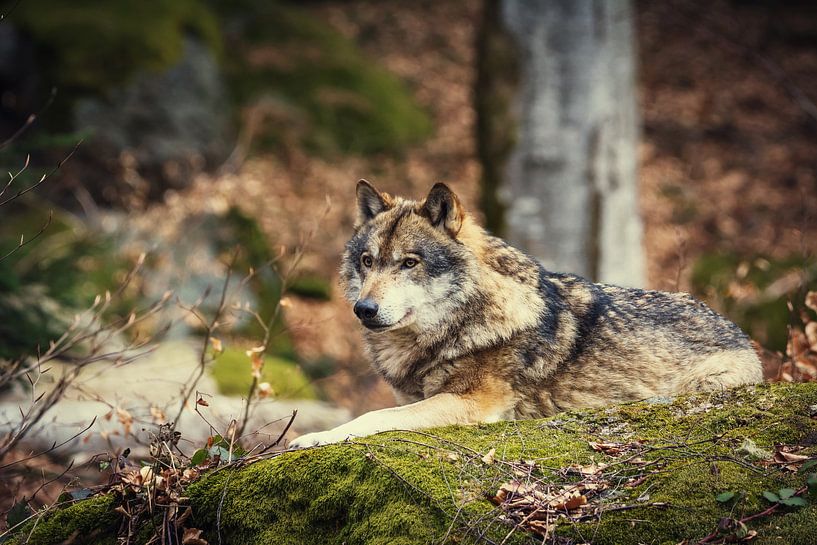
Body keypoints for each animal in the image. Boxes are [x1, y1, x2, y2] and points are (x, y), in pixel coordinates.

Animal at [290, 181, 763, 448]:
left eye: (409, 263)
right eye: (368, 261)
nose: (363, 308)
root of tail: (738, 331)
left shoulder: (471, 403)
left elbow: (374, 417)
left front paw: (313, 437)